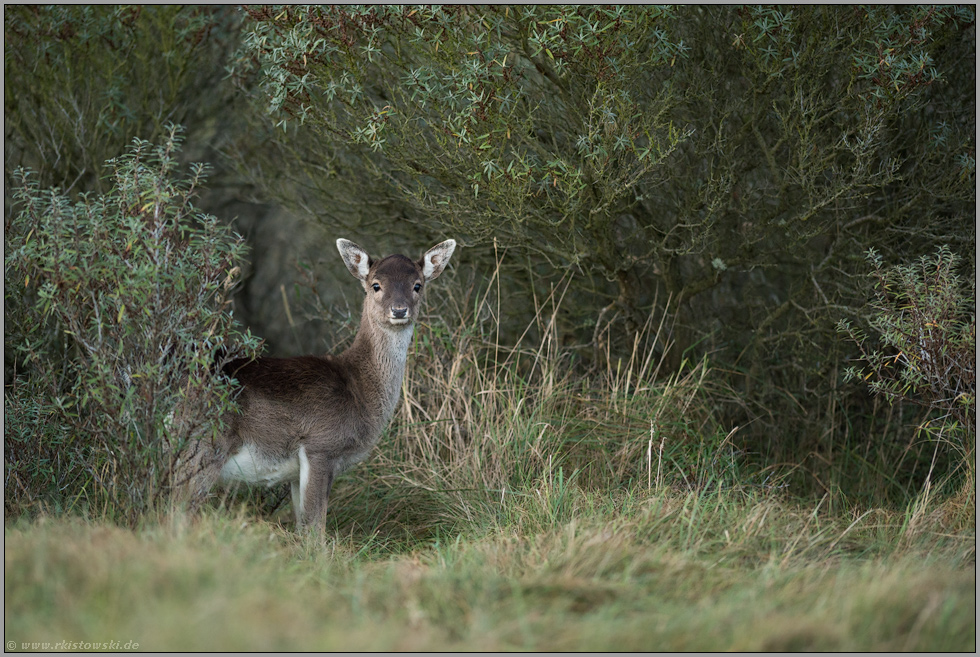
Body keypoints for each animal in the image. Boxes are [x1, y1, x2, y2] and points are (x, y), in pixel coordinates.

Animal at [172, 238, 456, 532]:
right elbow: (315, 528)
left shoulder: (296, 472)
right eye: (376, 284)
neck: (358, 390)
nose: (399, 309)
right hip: (202, 443)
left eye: (417, 284)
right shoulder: (321, 444)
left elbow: (303, 526)